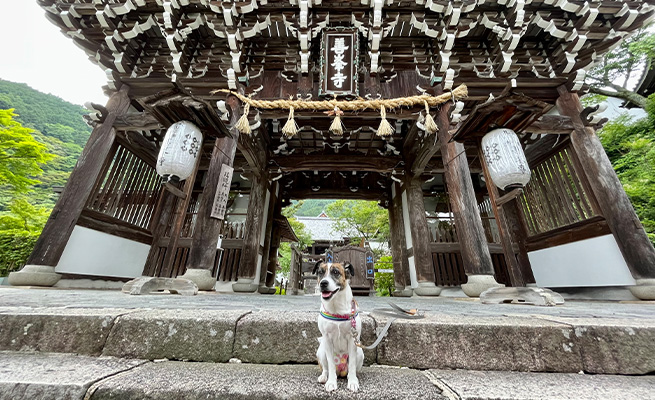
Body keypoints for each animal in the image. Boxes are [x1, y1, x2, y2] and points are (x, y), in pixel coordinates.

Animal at [316, 260, 366, 394]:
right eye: (320, 272)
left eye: (336, 272)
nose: (323, 283)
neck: (336, 306)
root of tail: (341, 371)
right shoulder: (327, 339)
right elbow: (330, 365)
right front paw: (331, 383)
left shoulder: (352, 340)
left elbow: (352, 365)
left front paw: (353, 382)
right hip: (321, 351)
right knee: (326, 368)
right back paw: (324, 377)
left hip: (360, 352)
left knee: (351, 369)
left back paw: (351, 377)